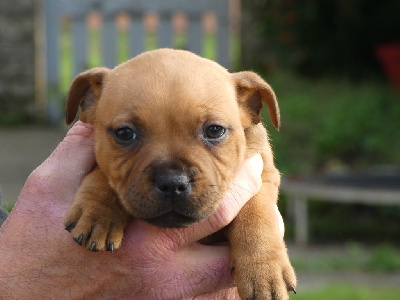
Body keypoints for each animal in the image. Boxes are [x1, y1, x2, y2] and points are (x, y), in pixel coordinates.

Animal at [64, 48, 296, 298]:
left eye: (215, 130)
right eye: (125, 133)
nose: (172, 183)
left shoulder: (264, 173)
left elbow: (257, 211)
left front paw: (264, 270)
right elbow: (102, 174)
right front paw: (97, 212)